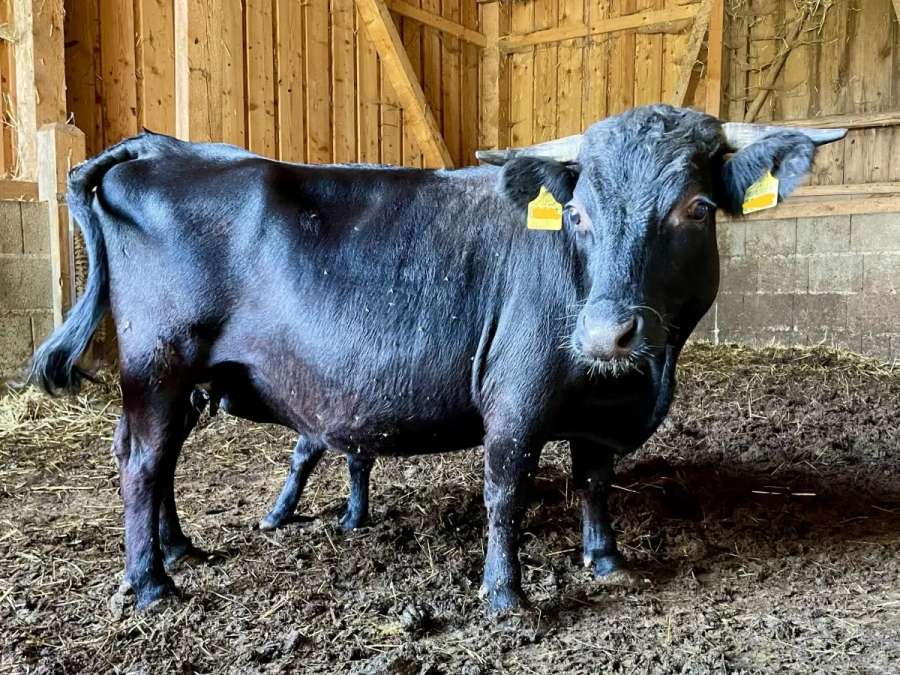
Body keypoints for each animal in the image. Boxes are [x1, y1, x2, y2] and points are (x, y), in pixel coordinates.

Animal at [28, 105, 843, 613]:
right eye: (579, 213)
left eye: (696, 208)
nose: (607, 332)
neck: (638, 384)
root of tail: (156, 150)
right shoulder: (517, 396)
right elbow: (506, 491)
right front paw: (505, 595)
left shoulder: (596, 410)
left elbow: (595, 481)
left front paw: (607, 560)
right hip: (158, 364)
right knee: (142, 462)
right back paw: (151, 583)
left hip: (187, 380)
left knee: (160, 461)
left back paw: (181, 550)